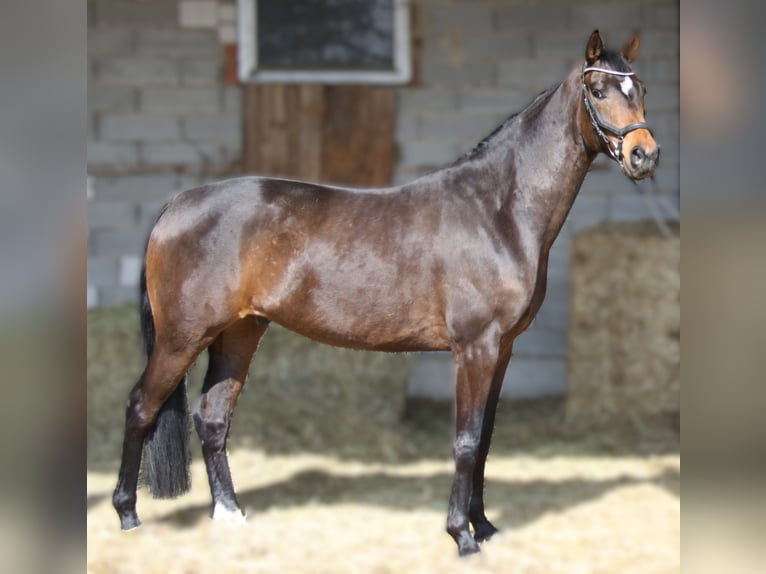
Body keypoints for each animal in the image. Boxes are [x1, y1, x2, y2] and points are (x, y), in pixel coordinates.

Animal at [112, 30, 659, 556]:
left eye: (641, 89)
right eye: (598, 89)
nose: (644, 155)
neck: (496, 209)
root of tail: (178, 204)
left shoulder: (501, 349)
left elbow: (484, 440)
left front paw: (484, 526)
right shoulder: (474, 348)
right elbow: (465, 441)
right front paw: (461, 536)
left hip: (239, 333)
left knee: (212, 418)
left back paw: (229, 514)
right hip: (182, 338)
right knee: (141, 406)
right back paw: (127, 513)